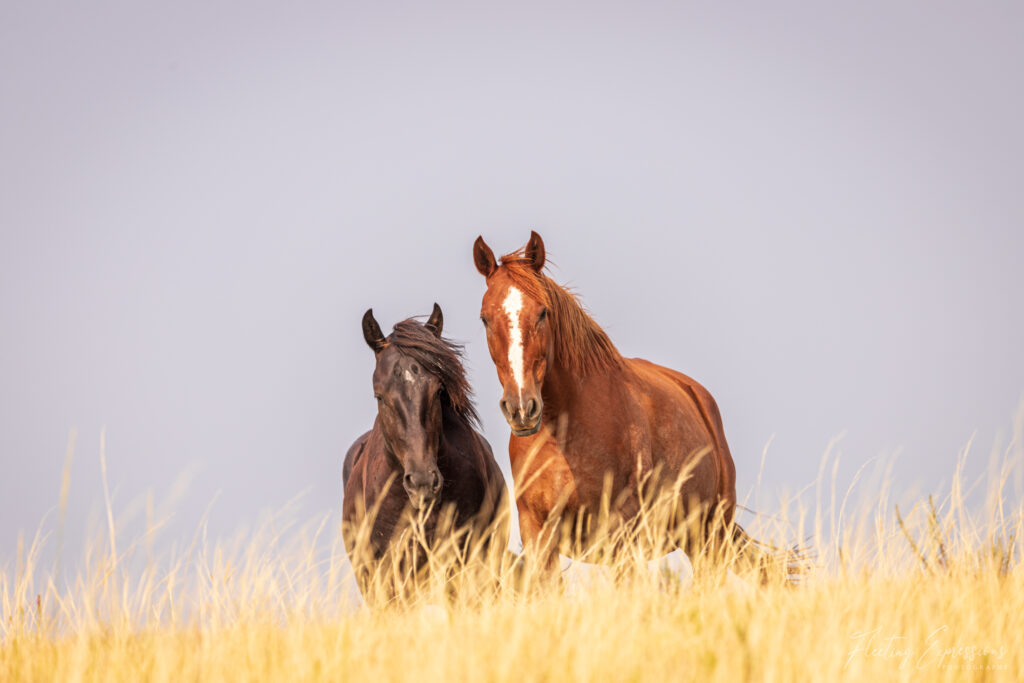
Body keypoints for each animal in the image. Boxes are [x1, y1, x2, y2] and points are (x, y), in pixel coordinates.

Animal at [471, 232, 761, 573]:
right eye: (485, 319)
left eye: (542, 312)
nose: (521, 408)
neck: (564, 432)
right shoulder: (538, 535)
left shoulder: (622, 534)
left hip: (709, 538)